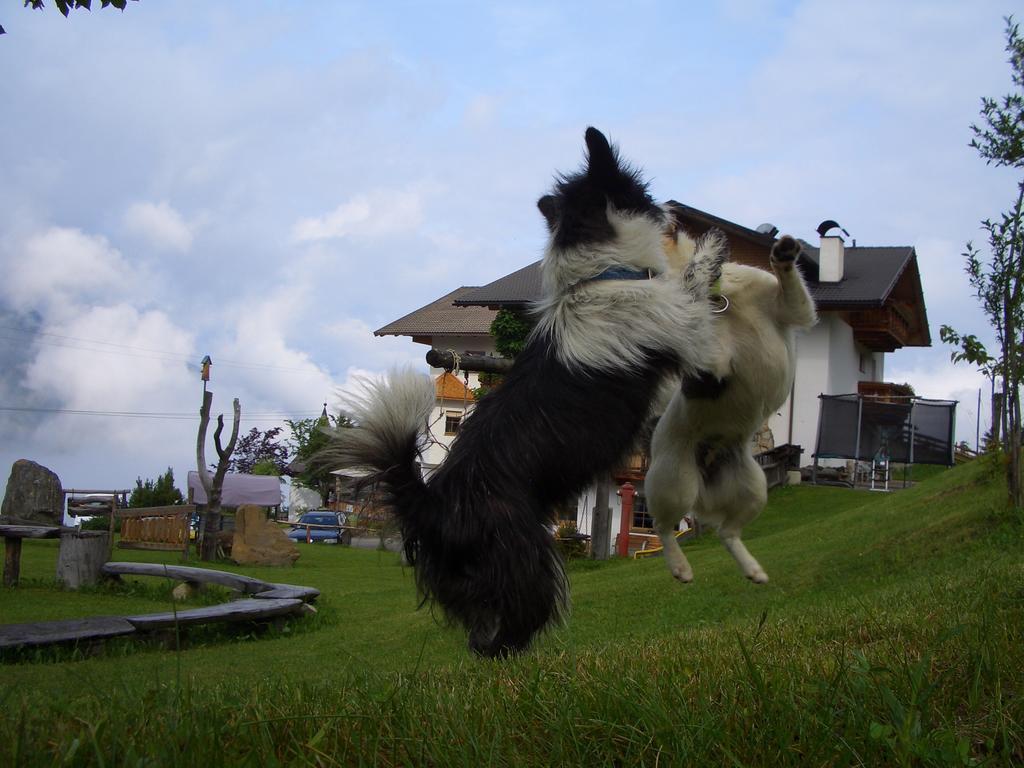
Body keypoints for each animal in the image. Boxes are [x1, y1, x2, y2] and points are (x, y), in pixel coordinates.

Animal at [323, 129, 724, 659]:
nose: (674, 213)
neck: (602, 275)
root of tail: (431, 505)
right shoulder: (682, 326)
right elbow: (691, 285)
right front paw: (709, 248)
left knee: (478, 636)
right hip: (530, 558)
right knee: (512, 626)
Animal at [643, 210, 819, 581]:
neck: (719, 299)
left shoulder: (791, 308)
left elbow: (790, 289)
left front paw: (782, 254)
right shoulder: (709, 370)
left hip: (754, 488)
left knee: (727, 532)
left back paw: (752, 570)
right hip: (675, 482)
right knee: (663, 527)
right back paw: (680, 567)